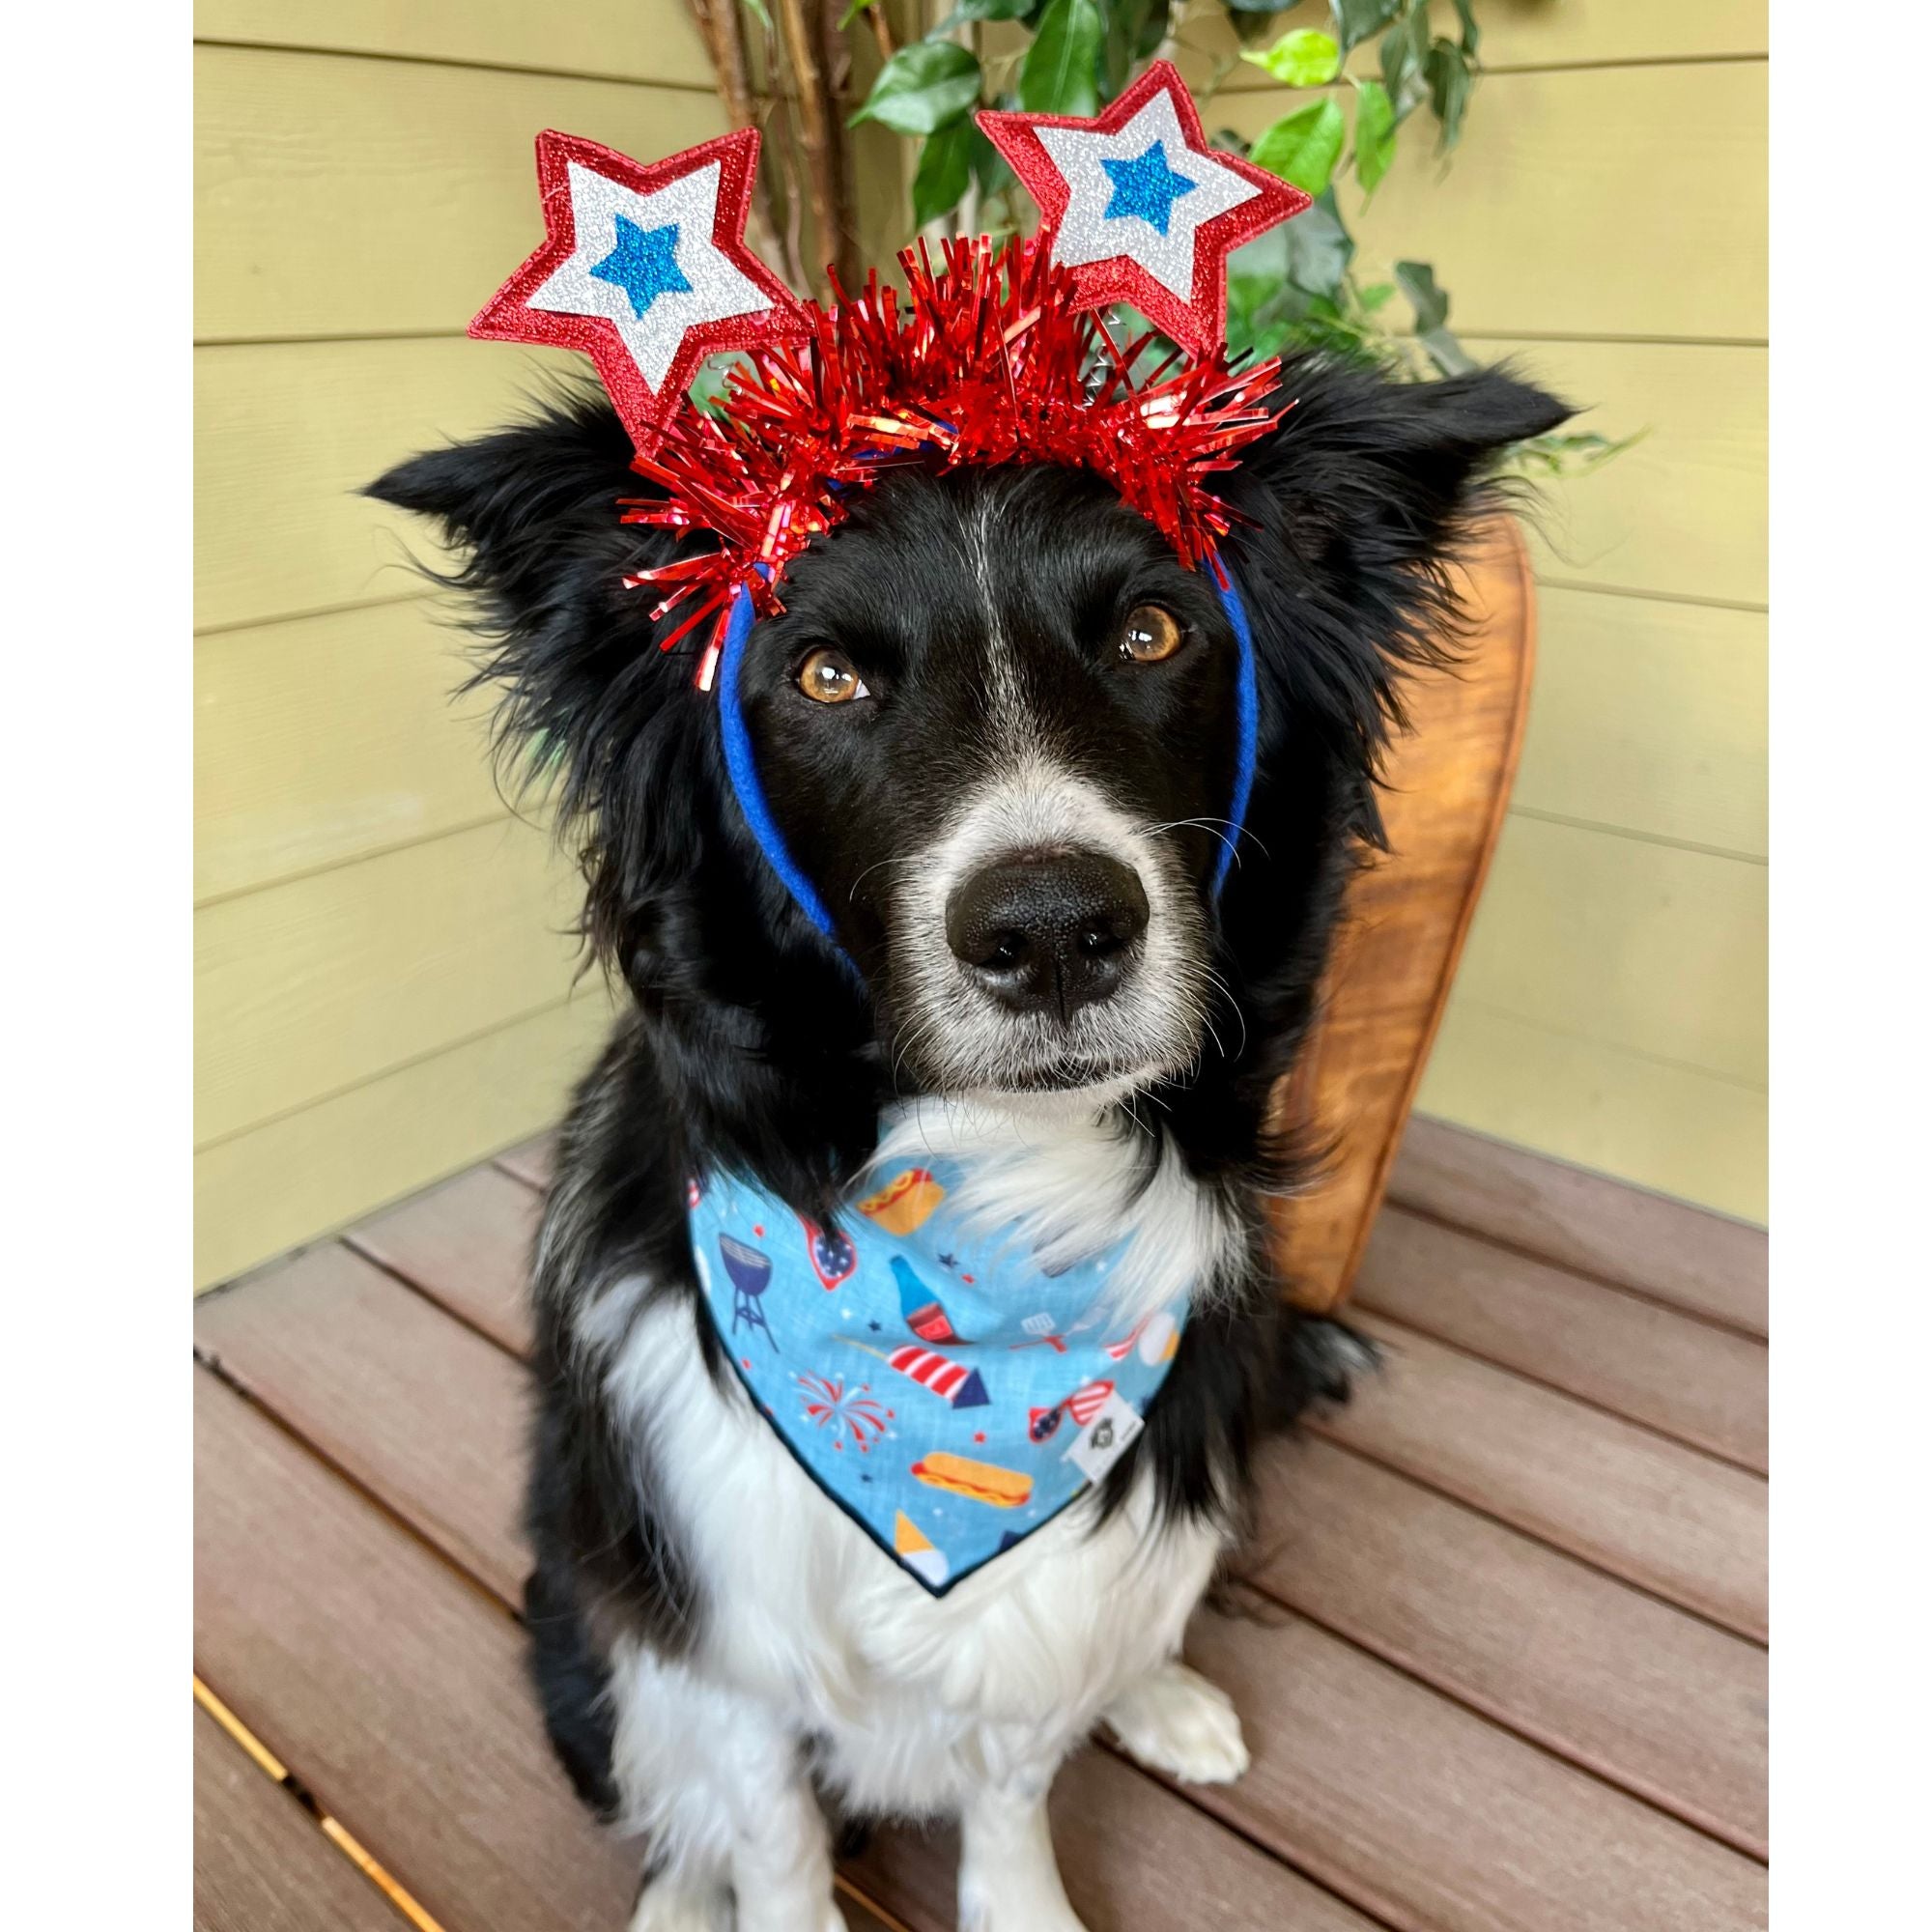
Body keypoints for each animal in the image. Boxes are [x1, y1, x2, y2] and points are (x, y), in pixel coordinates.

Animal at [373, 352, 1569, 1932]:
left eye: (1152, 630)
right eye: (824, 674)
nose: (1053, 929)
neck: (981, 1214)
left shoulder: (1046, 1606)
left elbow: (1014, 1786)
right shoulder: (719, 1620)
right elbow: (770, 1839)